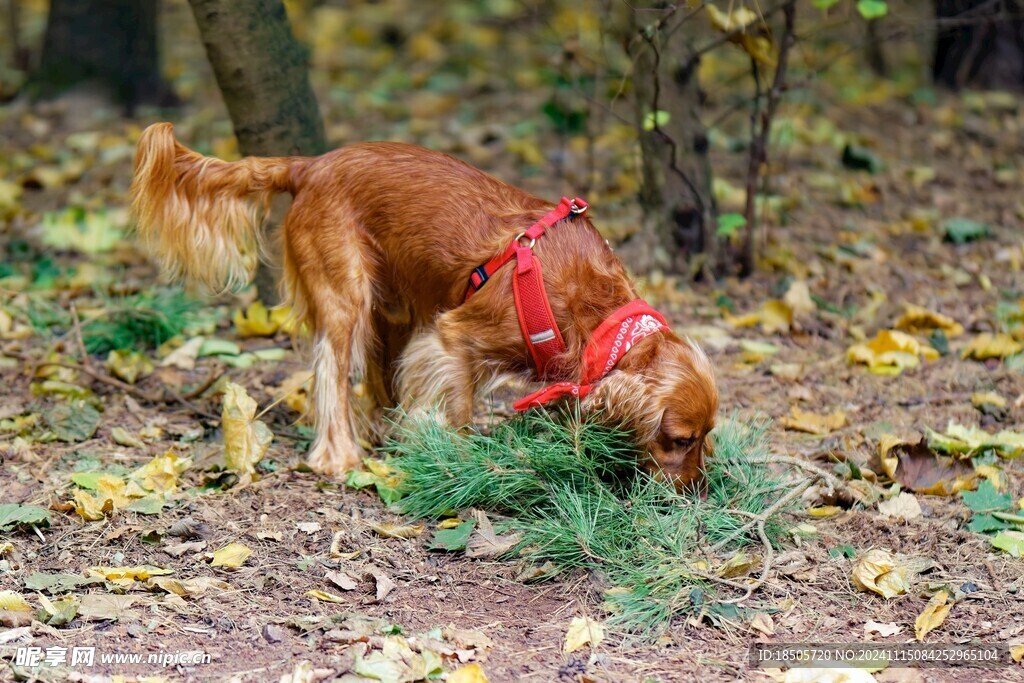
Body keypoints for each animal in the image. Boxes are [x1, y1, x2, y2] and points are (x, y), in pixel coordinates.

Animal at [130, 125, 720, 489]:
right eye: (680, 440)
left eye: (707, 438)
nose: (697, 491)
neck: (598, 314)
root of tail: (309, 165)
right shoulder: (452, 337)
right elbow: (454, 406)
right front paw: (454, 460)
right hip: (347, 296)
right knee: (330, 373)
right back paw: (339, 456)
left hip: (391, 309)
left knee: (376, 376)